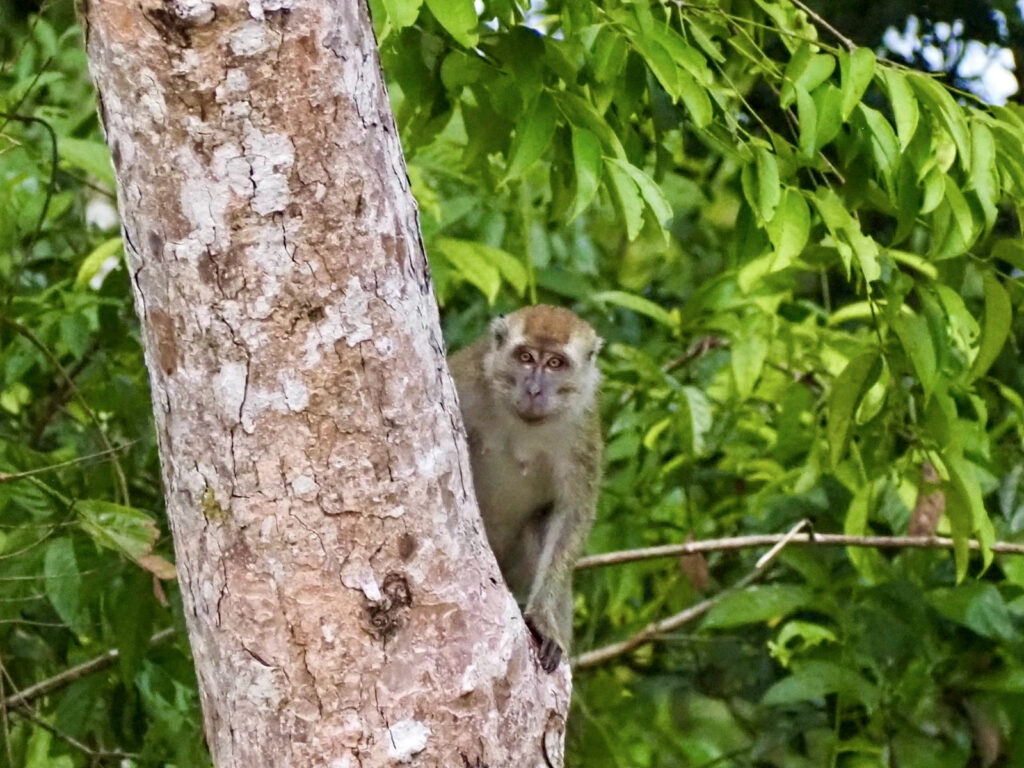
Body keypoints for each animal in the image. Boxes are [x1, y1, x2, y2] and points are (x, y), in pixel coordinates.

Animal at [448, 305, 602, 672]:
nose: (534, 389)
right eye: (526, 357)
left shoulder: (582, 429)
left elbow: (572, 513)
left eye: (555, 363)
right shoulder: (466, 379)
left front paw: (542, 619)